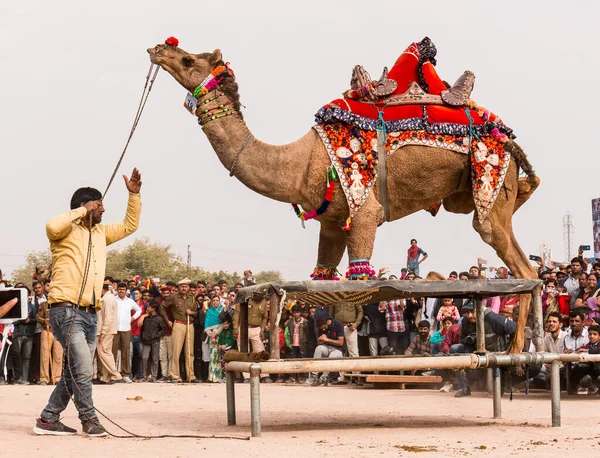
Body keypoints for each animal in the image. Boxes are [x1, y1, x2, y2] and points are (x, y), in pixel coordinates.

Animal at [149, 37, 540, 352]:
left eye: (188, 60)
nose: (158, 48)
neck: (300, 162)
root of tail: (510, 140)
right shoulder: (332, 223)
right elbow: (323, 276)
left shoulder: (364, 209)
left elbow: (358, 279)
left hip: (490, 183)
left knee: (523, 267)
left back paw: (518, 354)